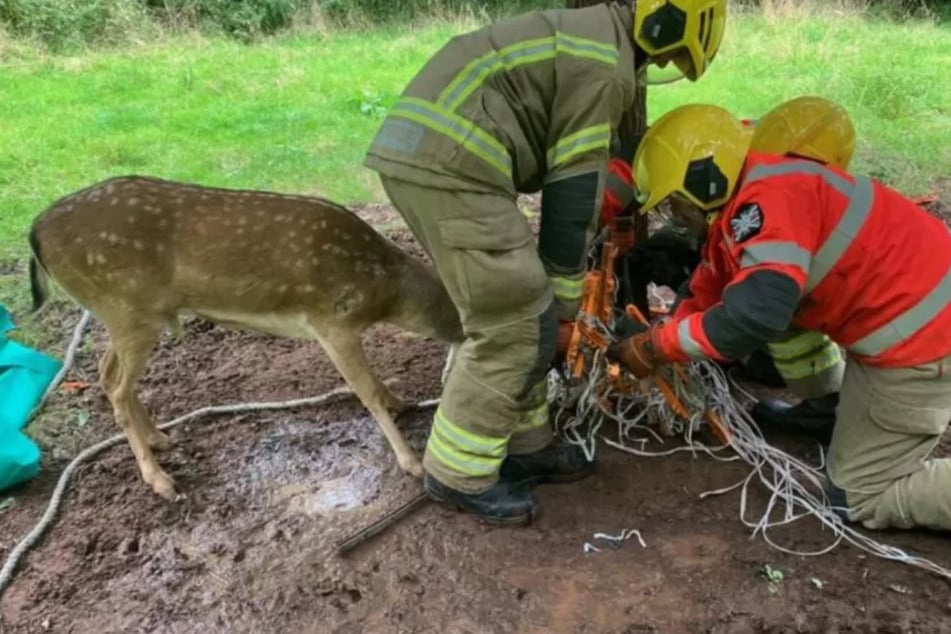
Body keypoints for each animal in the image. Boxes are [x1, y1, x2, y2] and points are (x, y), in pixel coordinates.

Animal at [27, 174, 462, 498]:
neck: (383, 293)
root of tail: (35, 230)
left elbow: (373, 383)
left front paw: (400, 402)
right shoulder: (331, 322)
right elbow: (365, 390)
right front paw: (412, 462)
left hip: (124, 315)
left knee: (107, 374)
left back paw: (159, 439)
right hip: (125, 306)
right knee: (117, 389)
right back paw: (161, 480)